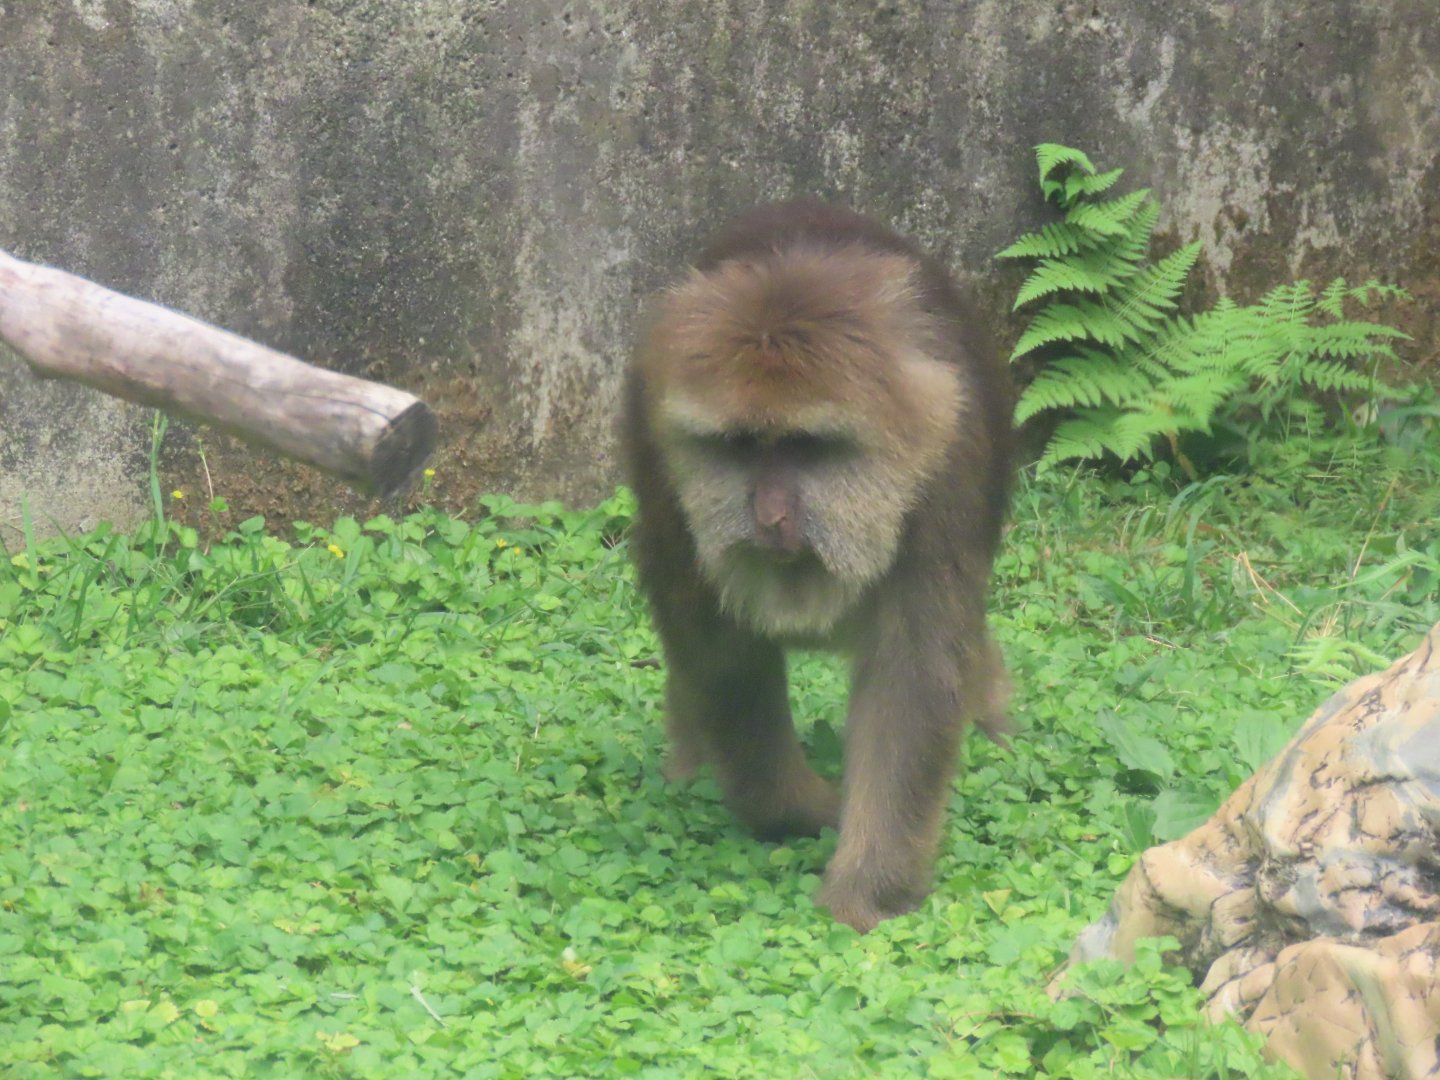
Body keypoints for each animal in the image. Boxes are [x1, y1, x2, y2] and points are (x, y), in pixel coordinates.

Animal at [623, 199, 1014, 933]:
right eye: (742, 445)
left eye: (806, 446)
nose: (770, 515)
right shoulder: (659, 458)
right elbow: (719, 656)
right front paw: (797, 810)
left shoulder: (947, 468)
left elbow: (914, 672)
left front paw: (867, 890)